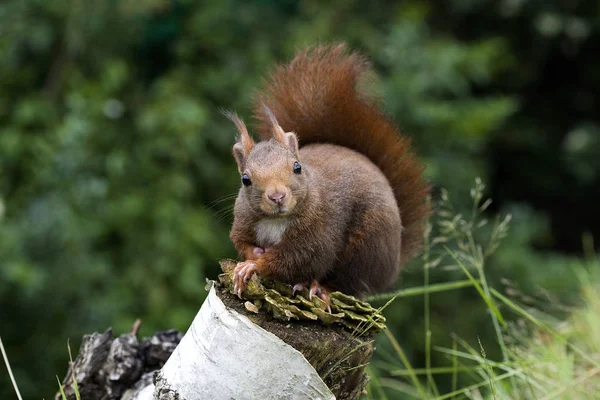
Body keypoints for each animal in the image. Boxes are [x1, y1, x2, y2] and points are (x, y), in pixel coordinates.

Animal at [226, 43, 432, 306]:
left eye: (297, 167)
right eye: (246, 179)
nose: (277, 197)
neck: (276, 221)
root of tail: (392, 265)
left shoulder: (319, 234)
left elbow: (292, 260)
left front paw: (254, 265)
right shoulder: (243, 221)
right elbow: (241, 241)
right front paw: (250, 258)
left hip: (367, 245)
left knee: (349, 282)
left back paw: (320, 287)